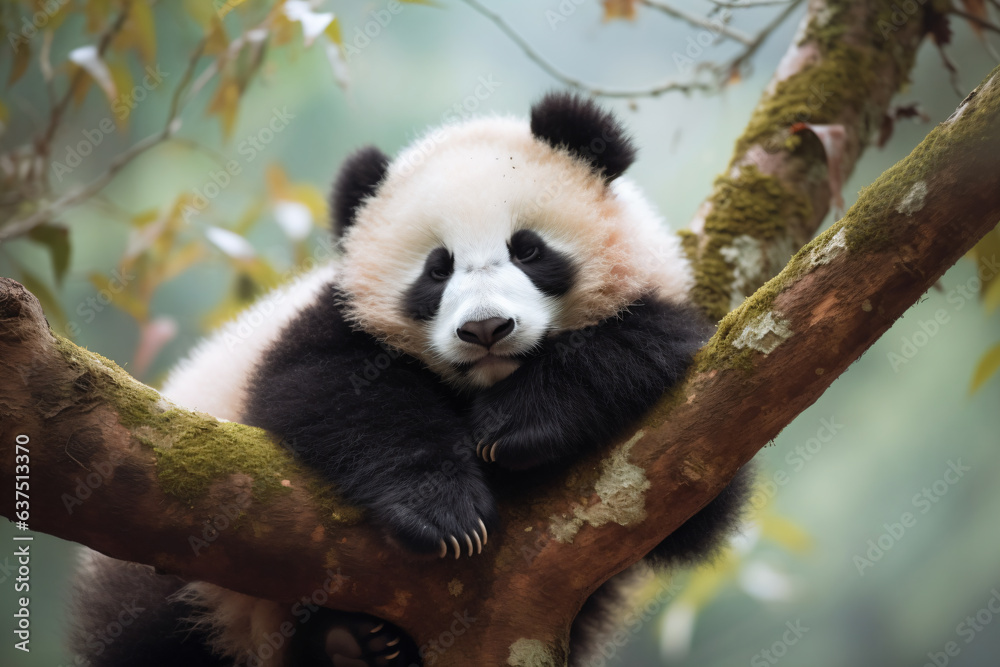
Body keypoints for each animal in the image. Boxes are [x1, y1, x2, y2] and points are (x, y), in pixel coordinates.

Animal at [69, 92, 751, 667]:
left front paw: (520, 423)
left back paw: (353, 646)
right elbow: (327, 391)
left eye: (527, 249)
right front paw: (446, 514)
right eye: (436, 268)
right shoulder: (323, 324)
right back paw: (349, 644)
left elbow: (691, 491)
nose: (486, 329)